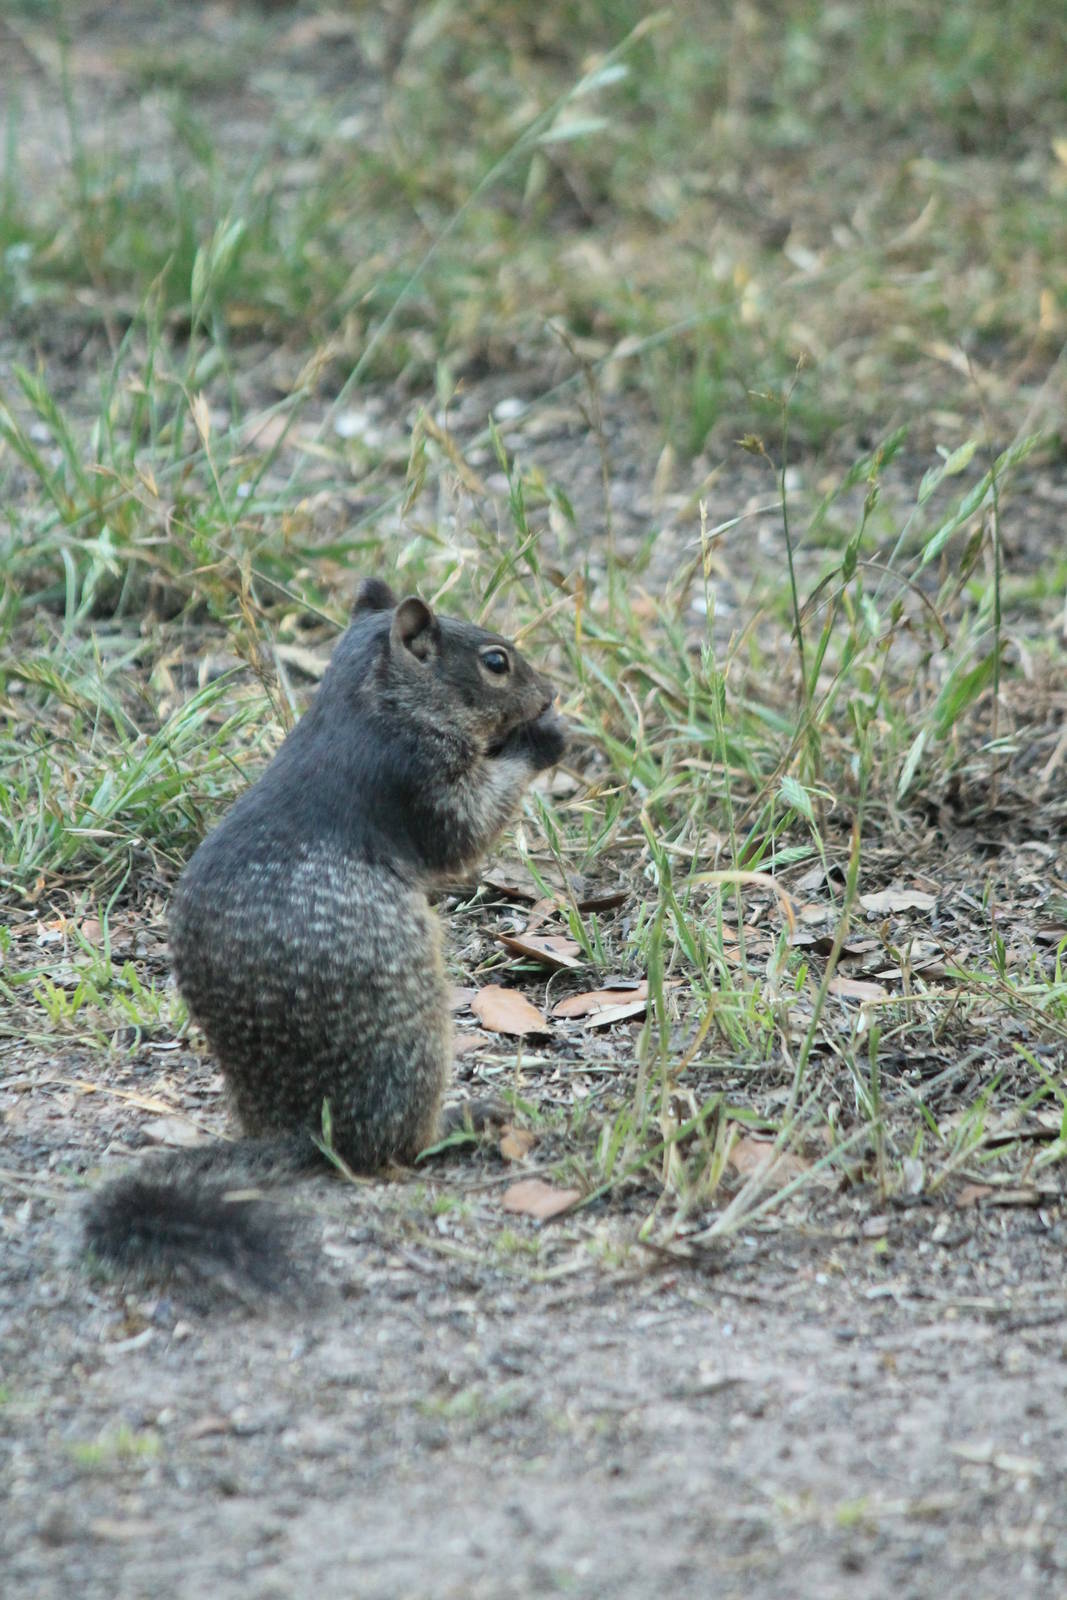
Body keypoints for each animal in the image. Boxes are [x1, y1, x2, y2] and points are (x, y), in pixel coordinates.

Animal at [84, 578, 567, 1288]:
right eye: (496, 661)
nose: (551, 693)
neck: (370, 702)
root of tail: (301, 1131)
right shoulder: (417, 775)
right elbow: (466, 826)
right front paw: (545, 737)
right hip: (411, 1051)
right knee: (394, 1148)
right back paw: (466, 1118)